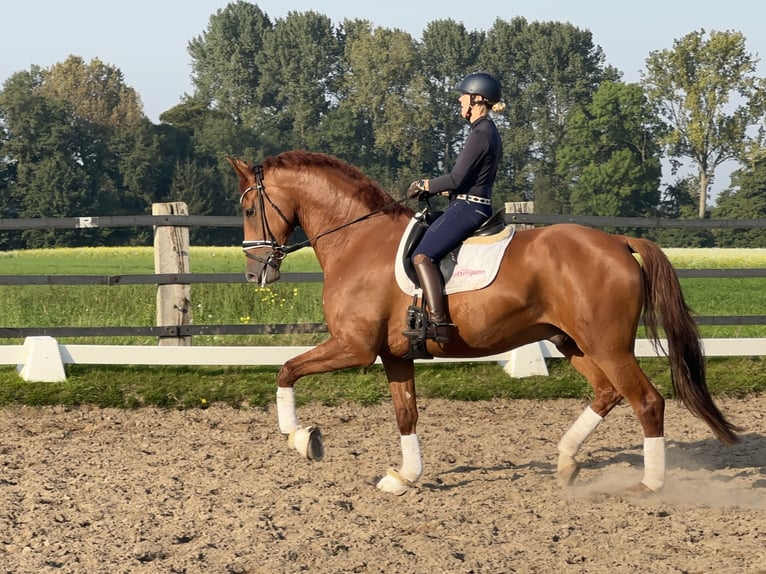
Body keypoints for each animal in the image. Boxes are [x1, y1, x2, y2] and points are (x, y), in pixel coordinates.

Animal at [225, 151, 740, 498]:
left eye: (249, 209)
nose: (254, 274)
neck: (357, 239)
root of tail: (618, 242)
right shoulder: (394, 354)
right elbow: (406, 413)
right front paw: (403, 476)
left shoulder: (353, 347)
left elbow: (286, 370)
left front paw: (303, 439)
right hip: (574, 343)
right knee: (608, 393)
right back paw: (566, 460)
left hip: (607, 346)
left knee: (647, 402)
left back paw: (648, 485)